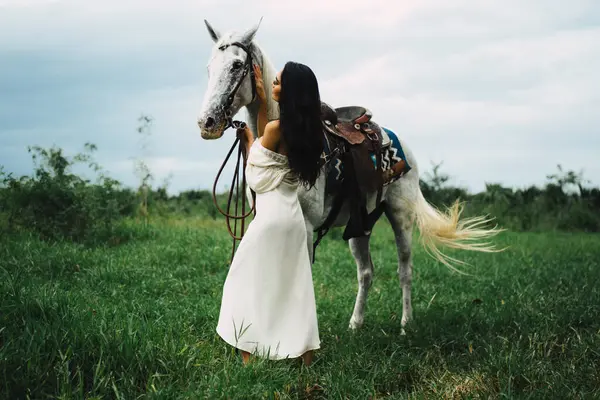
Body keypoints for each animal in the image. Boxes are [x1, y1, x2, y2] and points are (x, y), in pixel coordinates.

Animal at [197, 19, 502, 332]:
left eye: (236, 65)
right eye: (209, 67)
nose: (206, 122)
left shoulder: (306, 224)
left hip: (400, 215)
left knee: (405, 268)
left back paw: (406, 323)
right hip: (361, 224)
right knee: (366, 272)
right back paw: (356, 324)